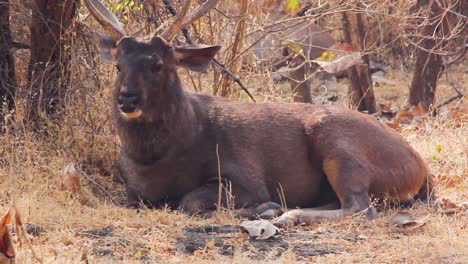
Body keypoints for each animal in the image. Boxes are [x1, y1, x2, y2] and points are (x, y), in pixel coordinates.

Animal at [84, 0, 436, 227]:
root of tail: (420, 168)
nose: (127, 99)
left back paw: (287, 214)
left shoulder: (246, 176)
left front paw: (263, 208)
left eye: (158, 64)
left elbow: (189, 201)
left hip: (338, 142)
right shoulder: (132, 190)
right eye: (119, 66)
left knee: (361, 207)